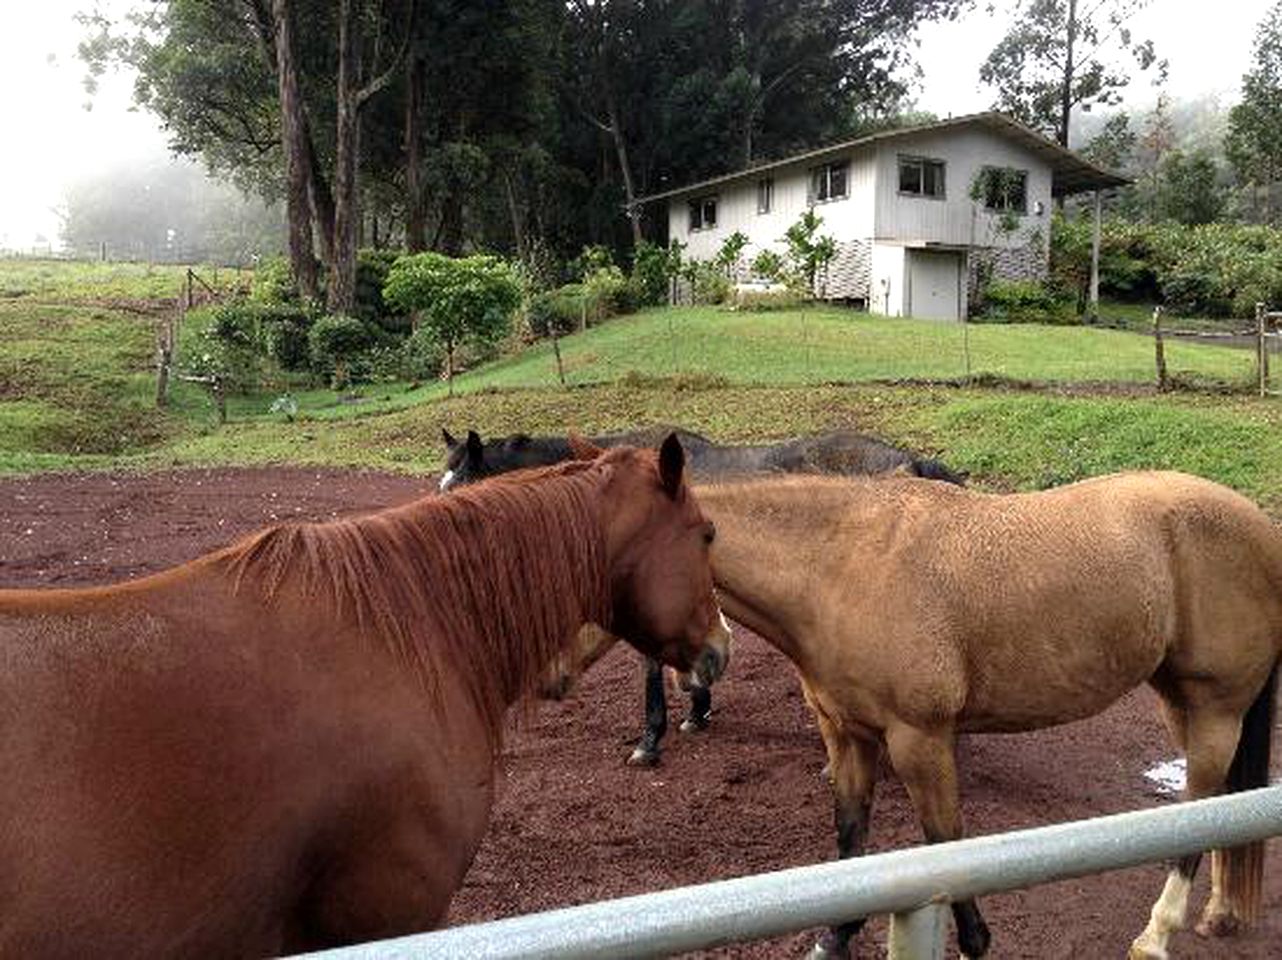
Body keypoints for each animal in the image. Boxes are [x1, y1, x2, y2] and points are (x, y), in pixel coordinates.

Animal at [676, 471, 1276, 958]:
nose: (704, 669)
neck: (843, 567)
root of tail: (1263, 530)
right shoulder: (847, 735)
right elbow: (850, 836)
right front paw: (835, 937)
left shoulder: (919, 741)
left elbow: (946, 844)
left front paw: (974, 942)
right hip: (1182, 705)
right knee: (1222, 804)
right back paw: (1219, 913)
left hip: (1216, 709)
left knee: (1196, 807)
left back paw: (1156, 935)